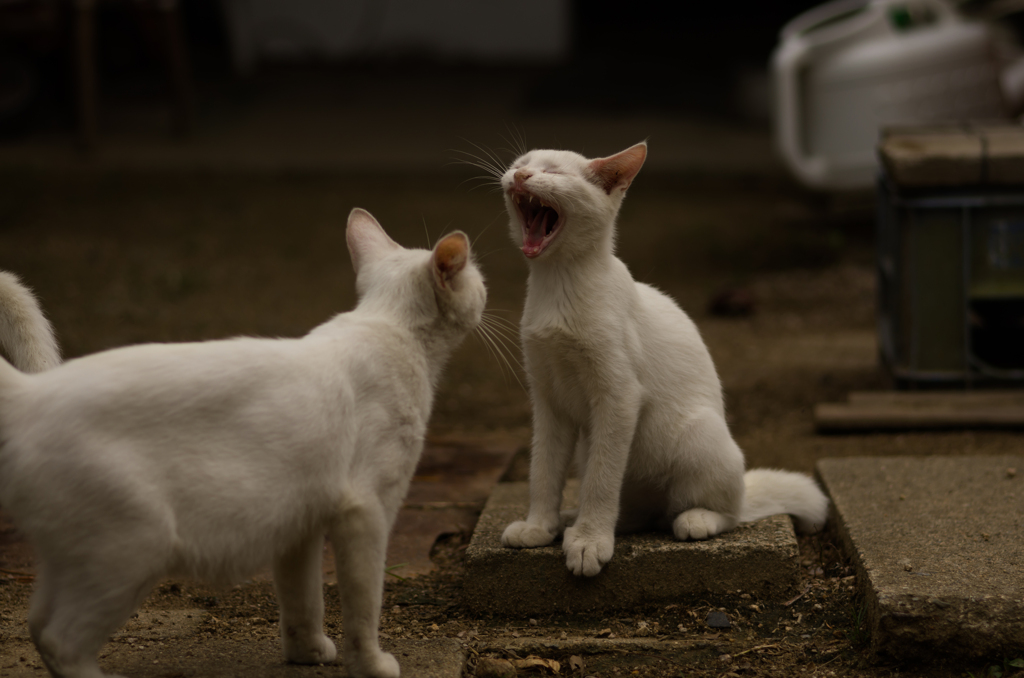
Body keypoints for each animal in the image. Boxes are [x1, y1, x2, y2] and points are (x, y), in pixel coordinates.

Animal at [0, 209, 485, 675]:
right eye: (478, 277)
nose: (485, 289)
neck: (389, 326)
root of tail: (32, 394)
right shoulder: (366, 512)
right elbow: (364, 605)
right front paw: (372, 665)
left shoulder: (300, 522)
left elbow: (302, 600)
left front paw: (308, 652)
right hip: (132, 546)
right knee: (62, 639)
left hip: (72, 557)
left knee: (37, 625)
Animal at [499, 143, 827, 577]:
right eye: (520, 165)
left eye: (552, 171)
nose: (520, 177)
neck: (558, 284)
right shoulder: (548, 401)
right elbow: (544, 470)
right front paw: (540, 527)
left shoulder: (619, 397)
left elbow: (601, 482)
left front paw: (589, 542)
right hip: (594, 448)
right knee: (632, 509)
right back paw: (575, 519)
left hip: (700, 433)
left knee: (727, 511)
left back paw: (695, 519)